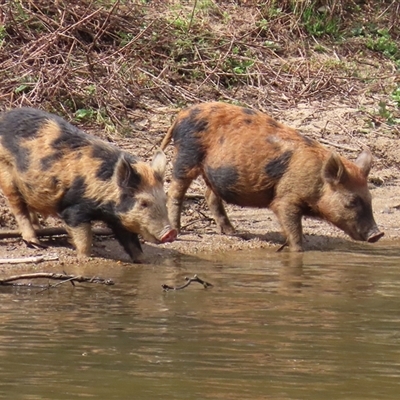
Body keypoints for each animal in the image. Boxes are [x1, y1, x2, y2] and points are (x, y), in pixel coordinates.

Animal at [0, 108, 177, 260]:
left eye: (164, 200)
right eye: (143, 203)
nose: (171, 232)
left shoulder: (117, 218)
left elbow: (131, 242)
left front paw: (143, 261)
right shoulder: (74, 209)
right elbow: (83, 238)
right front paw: (84, 258)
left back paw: (39, 228)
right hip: (6, 174)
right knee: (18, 207)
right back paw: (35, 243)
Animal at [162, 101, 384, 252]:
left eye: (370, 198)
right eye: (352, 201)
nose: (378, 234)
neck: (316, 182)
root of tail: (181, 114)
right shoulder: (285, 199)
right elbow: (293, 230)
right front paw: (297, 250)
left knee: (210, 196)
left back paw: (233, 233)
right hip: (186, 156)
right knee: (175, 192)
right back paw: (177, 230)